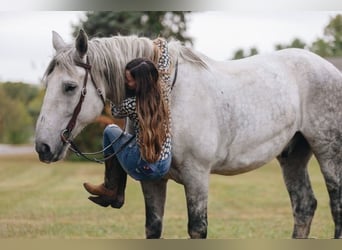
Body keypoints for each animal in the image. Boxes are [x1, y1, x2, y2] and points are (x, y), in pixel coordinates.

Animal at [34, 29, 342, 238]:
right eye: (48, 83)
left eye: (70, 87)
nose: (42, 147)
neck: (167, 96)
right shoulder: (153, 180)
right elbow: (153, 227)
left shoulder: (197, 177)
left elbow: (197, 227)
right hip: (292, 155)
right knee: (304, 205)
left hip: (328, 152)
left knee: (335, 205)